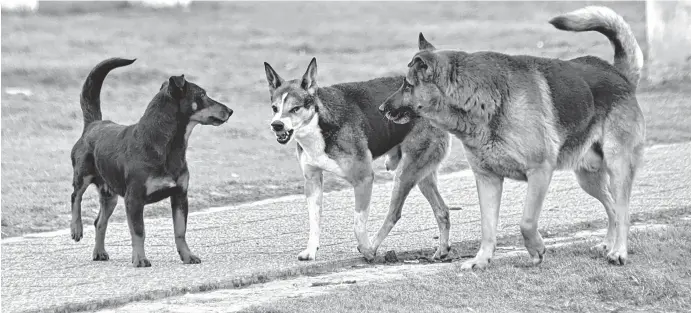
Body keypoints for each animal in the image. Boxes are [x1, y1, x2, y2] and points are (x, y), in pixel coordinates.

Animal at [70, 58, 234, 266]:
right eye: (202, 94)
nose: (230, 110)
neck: (168, 145)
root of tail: (93, 124)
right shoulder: (134, 199)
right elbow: (139, 231)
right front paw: (140, 259)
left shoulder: (180, 195)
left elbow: (180, 231)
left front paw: (187, 256)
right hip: (82, 174)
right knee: (76, 197)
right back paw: (76, 228)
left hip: (110, 195)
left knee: (99, 221)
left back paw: (99, 252)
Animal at [378, 5, 644, 268]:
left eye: (407, 85)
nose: (381, 109)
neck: (481, 101)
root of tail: (618, 74)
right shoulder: (487, 179)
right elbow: (487, 227)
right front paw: (481, 260)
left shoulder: (539, 171)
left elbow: (526, 222)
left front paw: (537, 250)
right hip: (588, 177)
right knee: (612, 208)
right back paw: (608, 245)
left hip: (617, 167)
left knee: (623, 211)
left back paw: (618, 252)